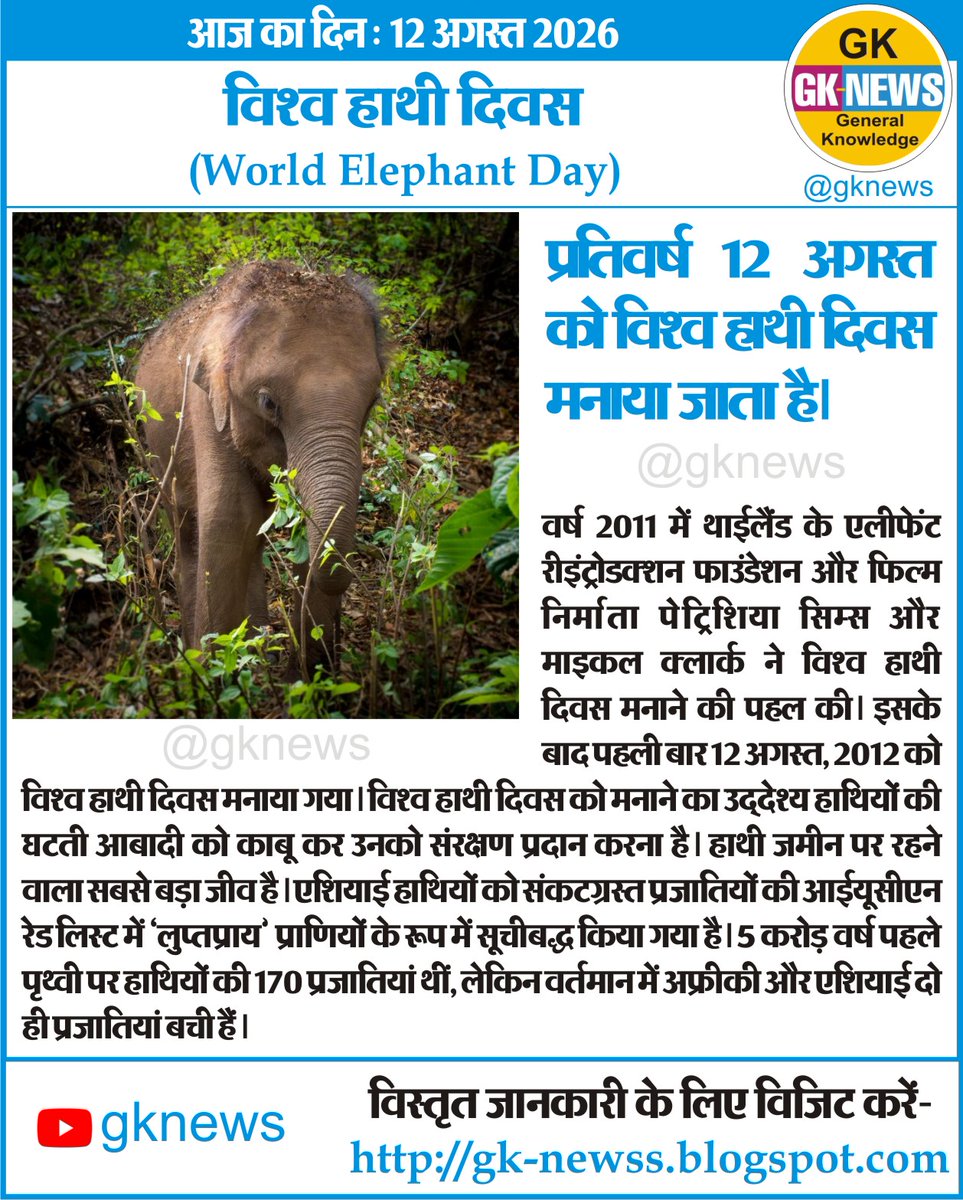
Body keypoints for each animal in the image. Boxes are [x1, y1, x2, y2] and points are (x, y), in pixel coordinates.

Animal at [136, 260, 386, 674]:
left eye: (373, 401)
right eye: (268, 403)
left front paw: (310, 677)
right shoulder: (207, 405)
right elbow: (229, 518)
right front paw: (218, 675)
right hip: (155, 445)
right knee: (189, 523)